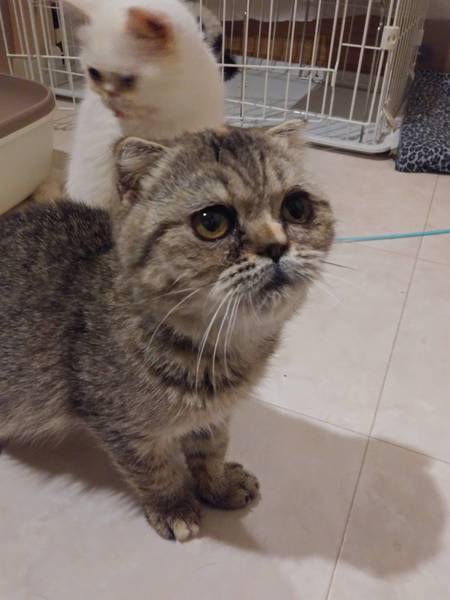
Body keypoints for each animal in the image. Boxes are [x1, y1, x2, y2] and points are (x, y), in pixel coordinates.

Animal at [0, 122, 334, 541]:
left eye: (296, 207)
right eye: (212, 222)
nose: (276, 245)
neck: (220, 349)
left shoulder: (215, 416)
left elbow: (212, 448)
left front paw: (218, 484)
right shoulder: (118, 424)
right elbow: (155, 471)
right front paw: (173, 506)